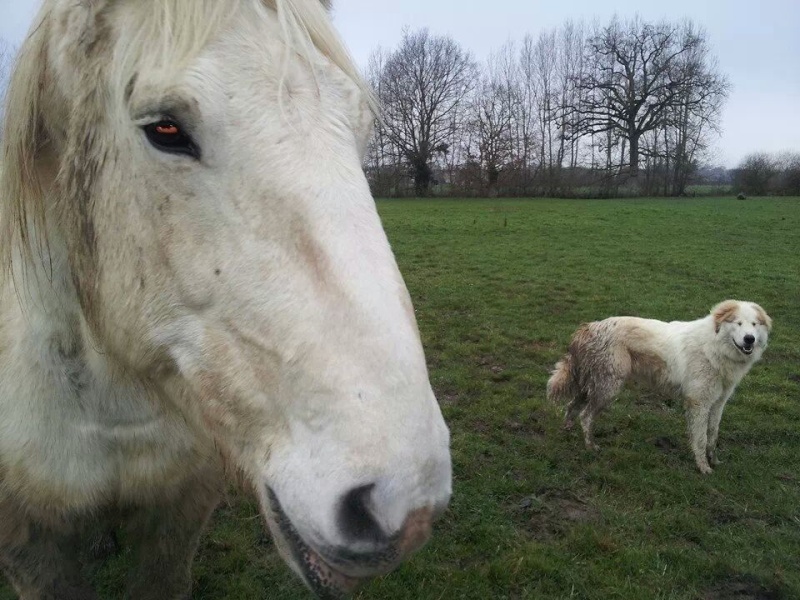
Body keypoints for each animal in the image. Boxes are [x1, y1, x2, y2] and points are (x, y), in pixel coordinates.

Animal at [548, 300, 772, 474]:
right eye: (738, 323)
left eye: (754, 324)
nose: (749, 338)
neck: (714, 347)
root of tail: (590, 327)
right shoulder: (698, 403)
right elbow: (700, 439)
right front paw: (703, 467)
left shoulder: (717, 403)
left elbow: (712, 436)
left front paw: (714, 461)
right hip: (607, 388)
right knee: (585, 416)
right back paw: (590, 446)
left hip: (592, 386)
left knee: (571, 406)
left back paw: (567, 431)